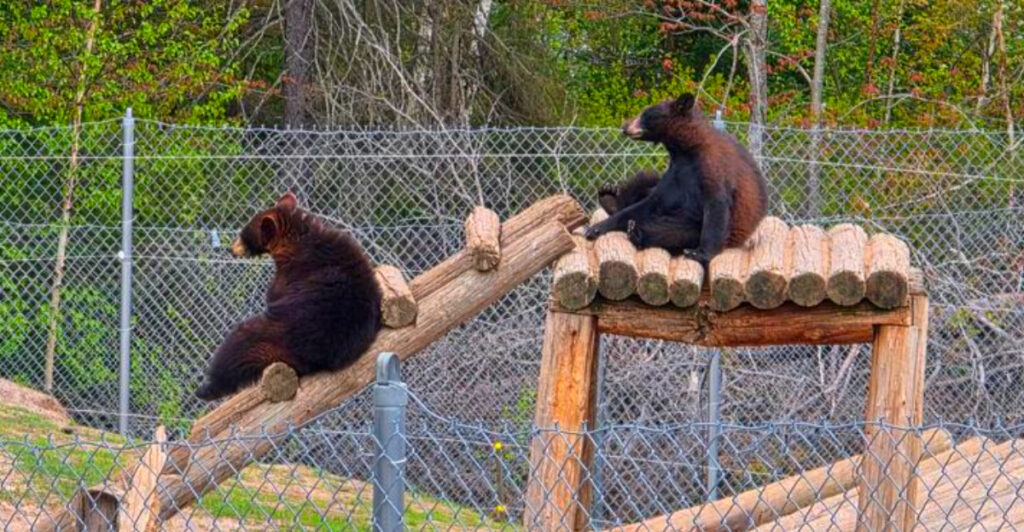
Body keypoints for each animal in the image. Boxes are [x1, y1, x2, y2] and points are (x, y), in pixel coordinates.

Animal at [195, 192, 382, 401]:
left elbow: (274, 293)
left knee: (235, 348)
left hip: (267, 336)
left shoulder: (288, 274)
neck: (297, 240)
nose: (231, 248)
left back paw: (206, 388)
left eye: (244, 234)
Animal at [584, 93, 768, 264]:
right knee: (645, 180)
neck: (686, 149)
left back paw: (637, 233)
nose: (624, 127)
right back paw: (609, 197)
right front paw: (596, 228)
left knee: (674, 231)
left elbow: (716, 205)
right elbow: (650, 201)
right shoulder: (675, 172)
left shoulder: (713, 168)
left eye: (646, 114)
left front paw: (700, 253)